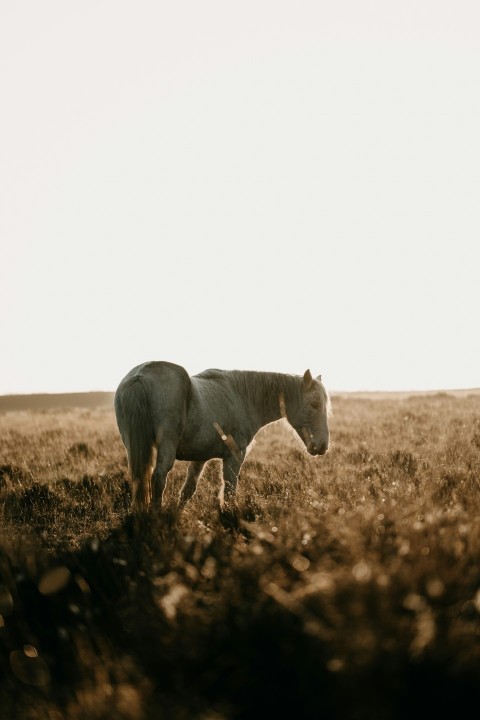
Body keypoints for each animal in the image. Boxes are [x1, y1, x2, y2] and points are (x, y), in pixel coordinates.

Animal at [114, 361, 331, 512]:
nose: (322, 446)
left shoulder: (200, 458)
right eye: (314, 404)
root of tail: (140, 376)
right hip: (165, 447)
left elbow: (188, 490)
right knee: (158, 478)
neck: (242, 397)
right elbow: (229, 490)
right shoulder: (234, 456)